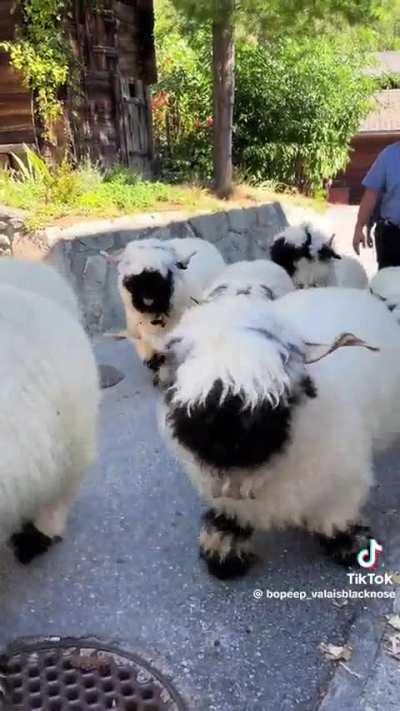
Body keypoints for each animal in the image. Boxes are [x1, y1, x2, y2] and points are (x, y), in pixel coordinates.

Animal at [159, 287, 400, 579]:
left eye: (274, 398)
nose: (224, 438)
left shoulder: (342, 484)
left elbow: (336, 517)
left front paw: (351, 546)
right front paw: (224, 554)